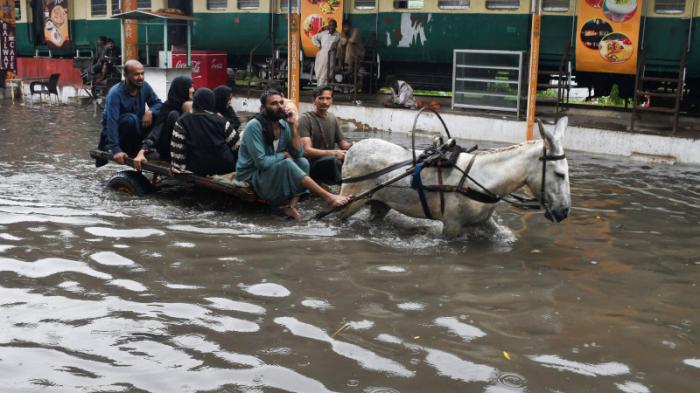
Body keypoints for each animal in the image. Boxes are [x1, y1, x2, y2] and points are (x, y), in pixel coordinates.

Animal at [340, 114, 576, 236]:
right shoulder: (452, 227)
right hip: (351, 200)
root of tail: (352, 149)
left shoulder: (485, 223)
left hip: (379, 203)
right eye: (559, 174)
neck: (483, 179)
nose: (564, 212)